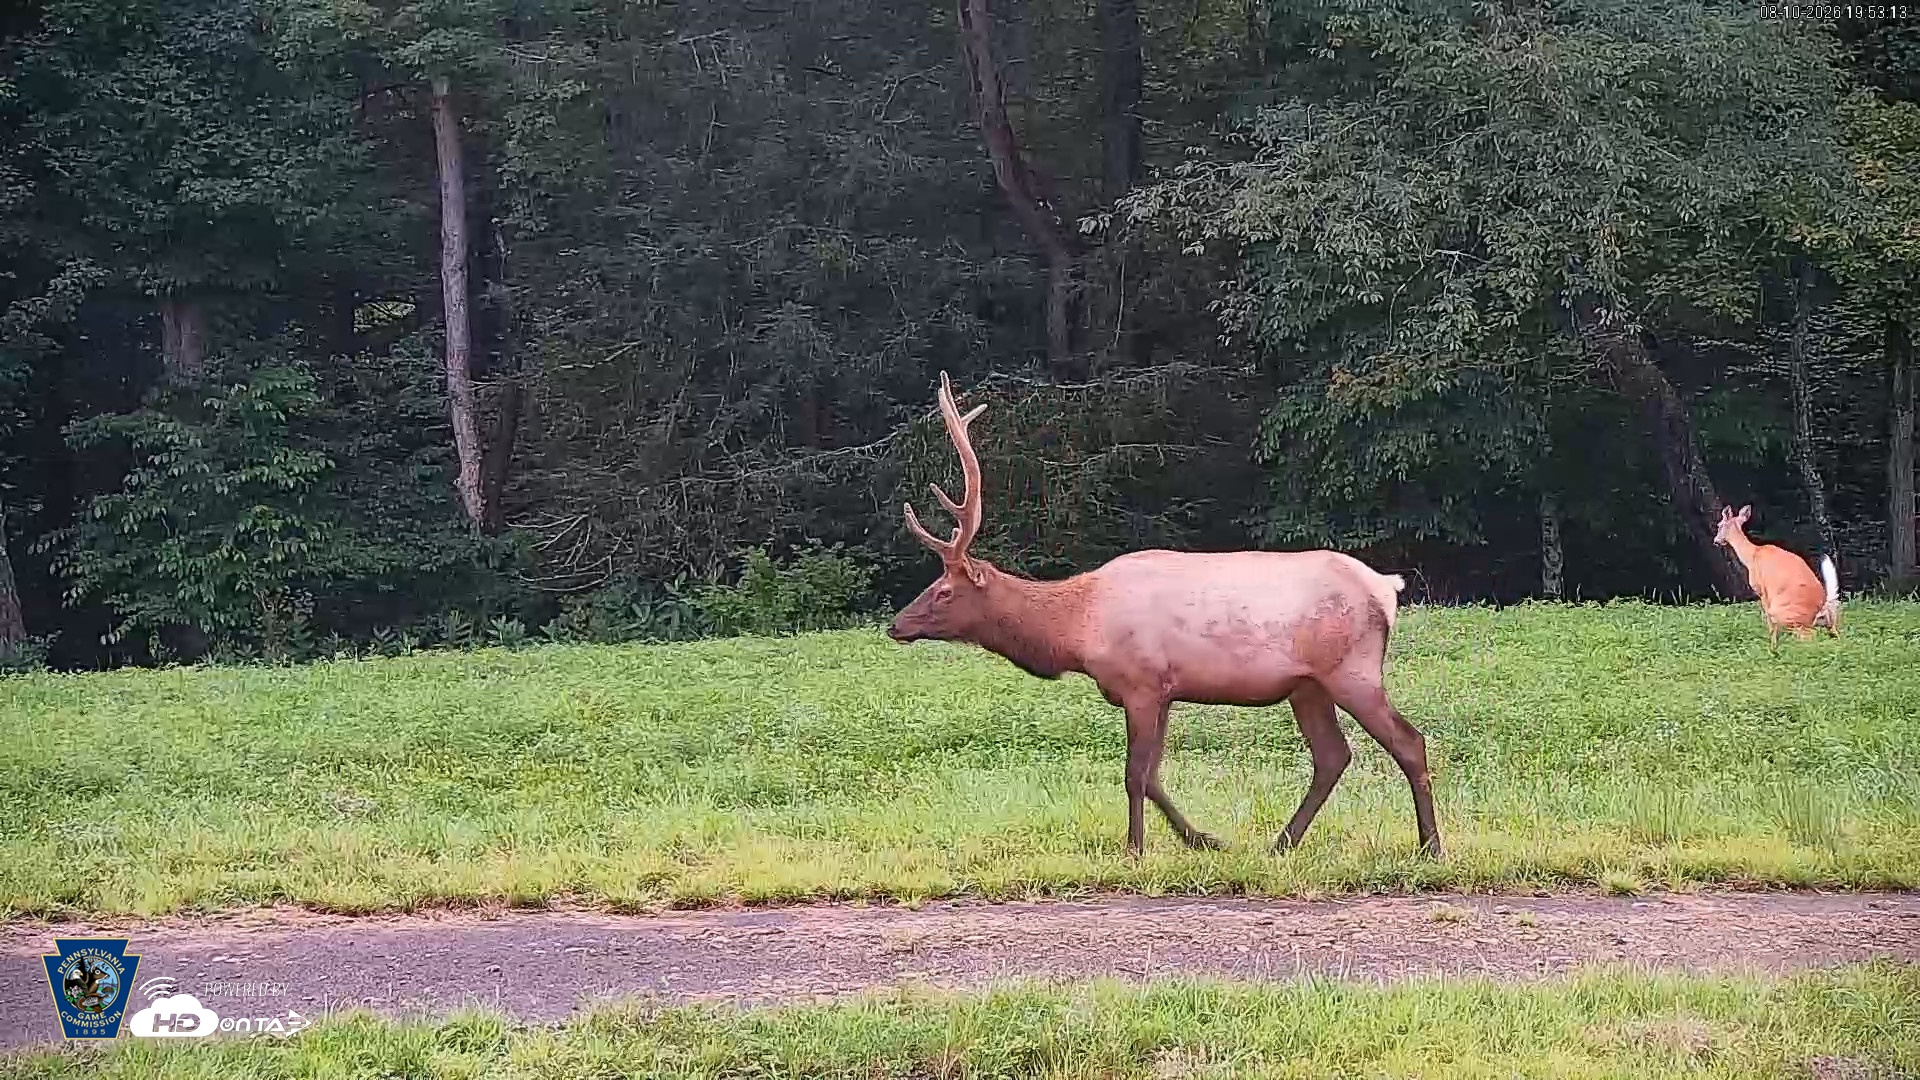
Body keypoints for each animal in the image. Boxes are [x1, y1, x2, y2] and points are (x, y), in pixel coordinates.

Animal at [886, 373, 1442, 860]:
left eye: (943, 590)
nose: (896, 625)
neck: (1077, 630)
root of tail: (1386, 590)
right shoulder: (1167, 690)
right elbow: (1153, 776)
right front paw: (1205, 841)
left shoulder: (1140, 683)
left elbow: (1134, 774)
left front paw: (1135, 850)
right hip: (1307, 685)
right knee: (1332, 756)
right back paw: (1281, 844)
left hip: (1351, 670)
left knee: (1408, 742)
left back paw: (1430, 847)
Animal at [1712, 504, 1841, 647]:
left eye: (1719, 525)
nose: (1716, 541)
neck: (1752, 556)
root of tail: (1824, 606)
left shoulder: (1762, 590)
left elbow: (1770, 623)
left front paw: (1771, 645)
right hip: (1828, 622)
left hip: (1786, 614)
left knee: (1808, 635)